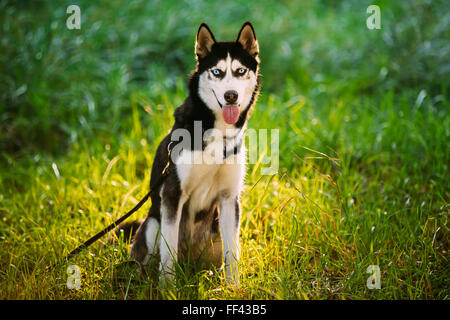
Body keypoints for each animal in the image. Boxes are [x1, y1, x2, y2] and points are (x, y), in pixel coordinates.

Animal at [126, 21, 260, 284]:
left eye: (240, 71)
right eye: (217, 72)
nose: (231, 95)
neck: (215, 131)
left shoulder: (229, 197)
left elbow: (233, 254)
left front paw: (233, 287)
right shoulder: (172, 193)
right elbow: (168, 254)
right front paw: (167, 287)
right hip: (152, 224)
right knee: (146, 258)